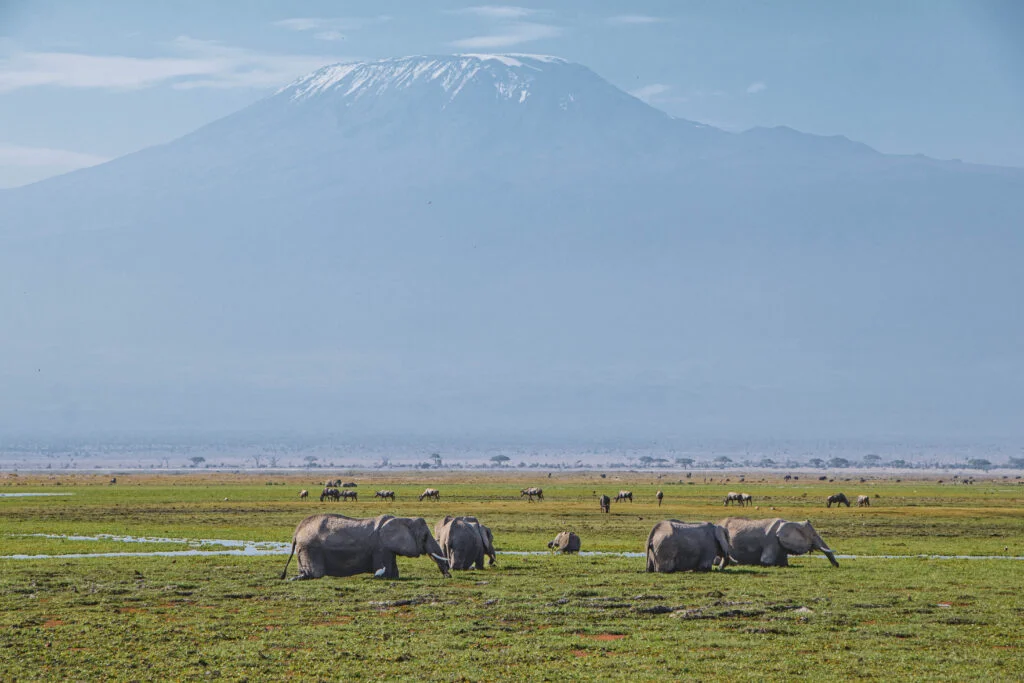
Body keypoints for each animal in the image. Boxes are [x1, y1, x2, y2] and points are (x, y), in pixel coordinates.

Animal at [278, 516, 450, 581]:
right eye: (425, 536)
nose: (448, 575)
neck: (402, 519)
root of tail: (297, 531)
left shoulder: (386, 548)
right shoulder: (380, 548)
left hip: (304, 548)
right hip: (310, 547)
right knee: (315, 574)